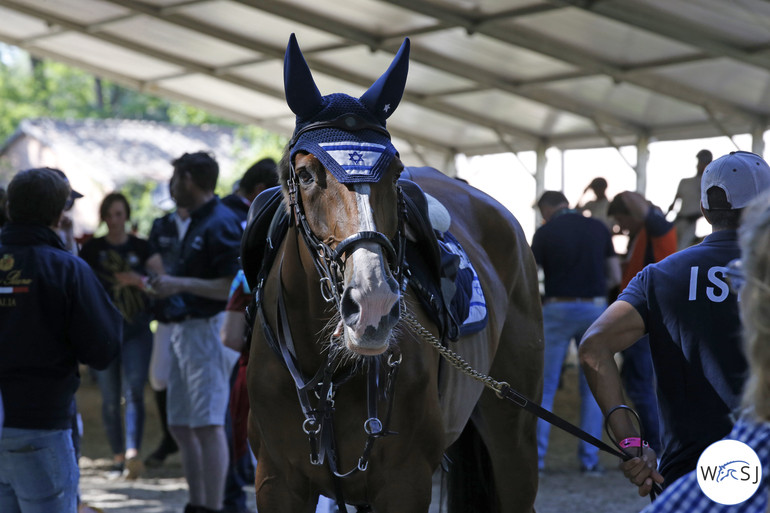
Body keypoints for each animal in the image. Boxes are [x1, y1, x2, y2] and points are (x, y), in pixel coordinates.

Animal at [243, 34, 544, 510]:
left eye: (397, 172)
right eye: (306, 174)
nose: (373, 304)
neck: (328, 375)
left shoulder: (406, 482)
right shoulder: (276, 481)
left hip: (513, 433)